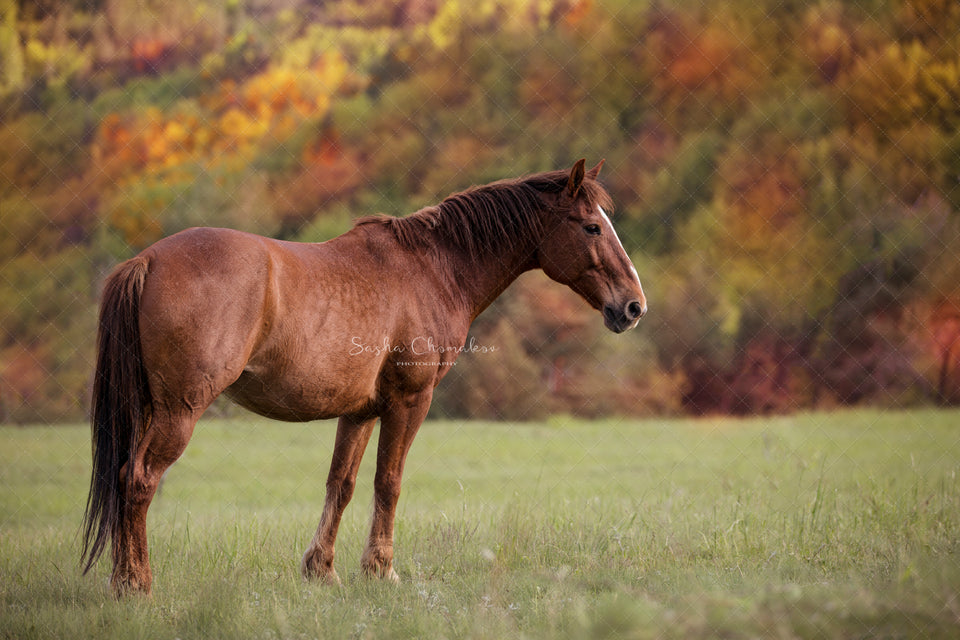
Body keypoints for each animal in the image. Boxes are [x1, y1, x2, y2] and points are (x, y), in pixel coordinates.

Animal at [80, 159, 644, 596]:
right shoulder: (410, 401)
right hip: (179, 411)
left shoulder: (360, 410)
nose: (633, 307)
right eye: (591, 227)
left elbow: (343, 484)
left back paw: (121, 580)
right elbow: (388, 482)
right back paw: (137, 585)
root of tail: (146, 260)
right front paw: (381, 570)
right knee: (139, 480)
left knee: (126, 479)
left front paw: (322, 571)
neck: (432, 267)